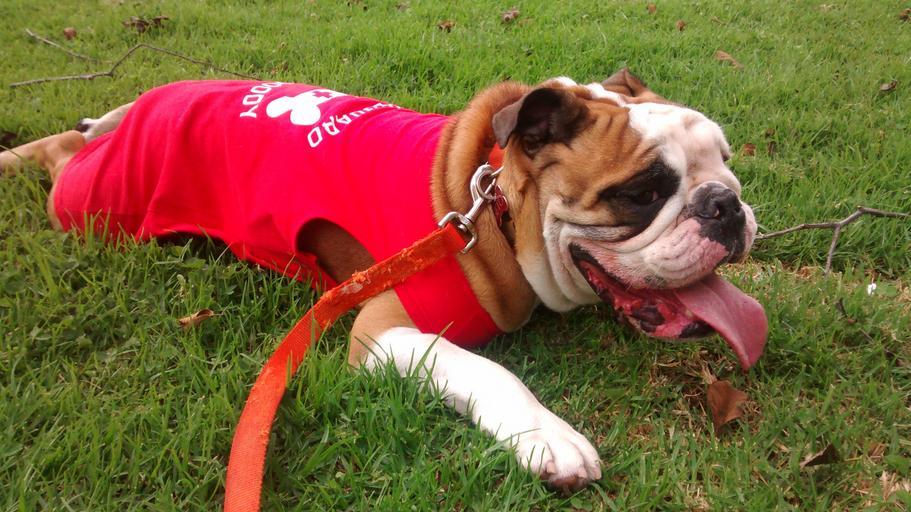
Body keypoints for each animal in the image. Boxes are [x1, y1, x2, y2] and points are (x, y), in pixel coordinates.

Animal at [0, 69, 767, 492]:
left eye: (725, 162)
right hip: (95, 205)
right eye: (641, 193)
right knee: (61, 154)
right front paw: (547, 437)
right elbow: (485, 369)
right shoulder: (382, 330)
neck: (491, 207)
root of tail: (151, 98)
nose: (726, 206)